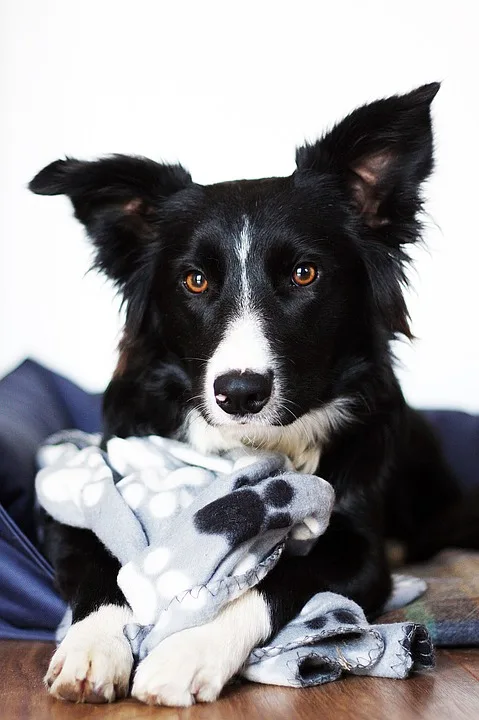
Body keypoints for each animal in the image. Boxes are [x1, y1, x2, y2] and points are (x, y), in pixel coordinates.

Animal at [29, 83, 476, 704]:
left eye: (305, 274)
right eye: (195, 281)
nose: (240, 393)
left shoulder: (357, 547)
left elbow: (273, 578)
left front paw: (187, 651)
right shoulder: (81, 506)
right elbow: (104, 570)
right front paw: (93, 648)